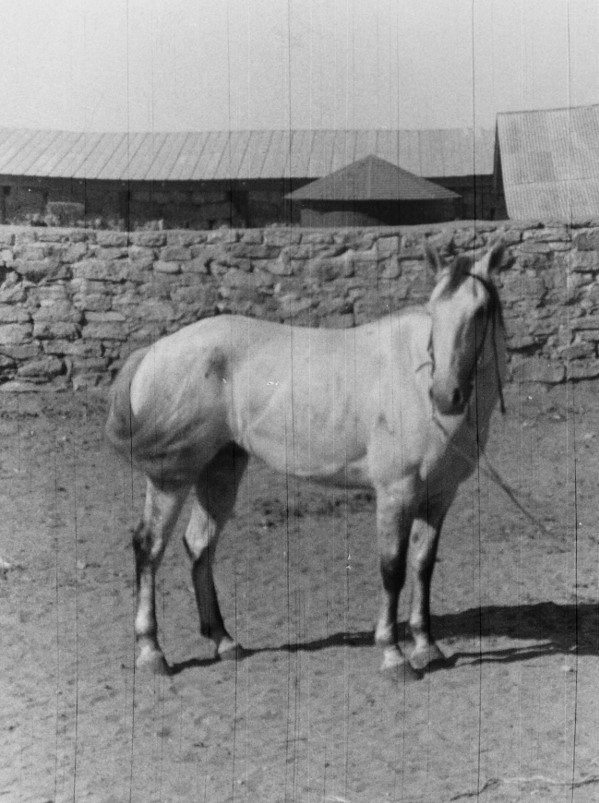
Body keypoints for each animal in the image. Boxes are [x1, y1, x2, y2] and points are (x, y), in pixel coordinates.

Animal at [105, 241, 507, 681]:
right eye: (434, 311)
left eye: (481, 311)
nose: (446, 394)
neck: (413, 380)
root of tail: (154, 350)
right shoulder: (396, 491)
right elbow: (393, 568)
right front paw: (394, 655)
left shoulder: (439, 494)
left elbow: (422, 565)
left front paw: (427, 646)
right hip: (173, 474)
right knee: (149, 546)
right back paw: (151, 651)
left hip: (220, 468)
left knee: (198, 545)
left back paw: (224, 641)